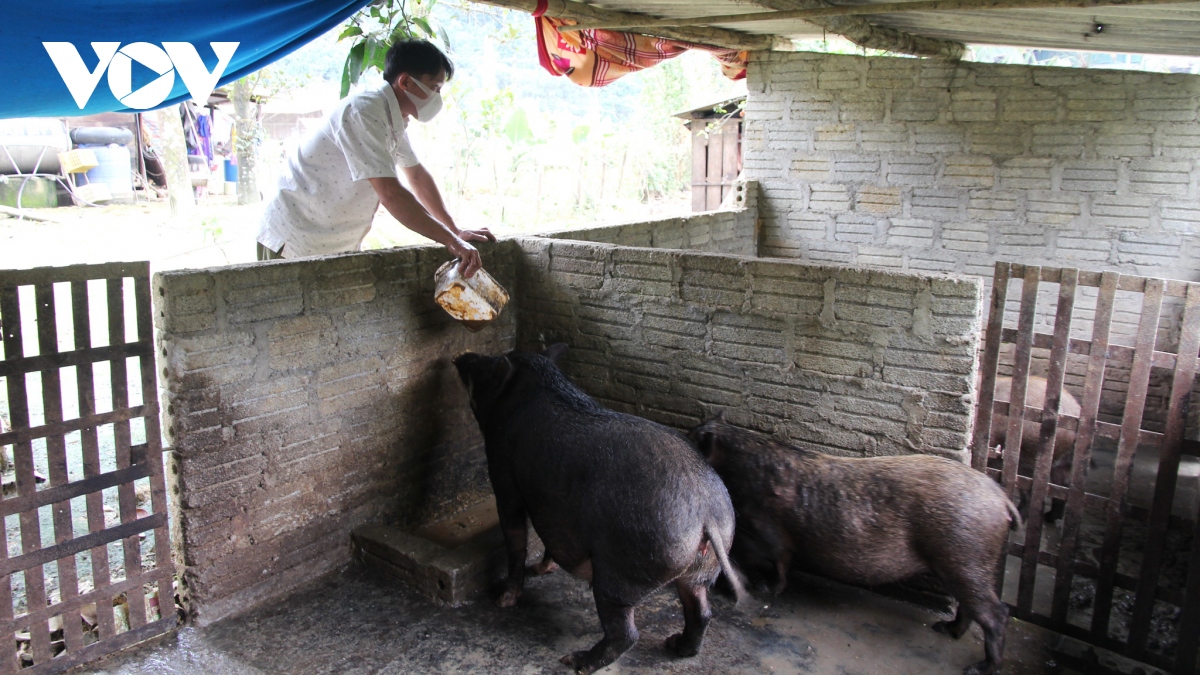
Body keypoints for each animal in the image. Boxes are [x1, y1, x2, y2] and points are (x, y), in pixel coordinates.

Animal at [453, 345, 744, 672]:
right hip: (700, 569)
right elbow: (549, 541)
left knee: (626, 633)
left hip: (622, 572)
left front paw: (503, 600)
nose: (461, 357)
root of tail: (707, 517)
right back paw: (676, 646)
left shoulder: (505, 478)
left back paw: (575, 661)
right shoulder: (556, 510)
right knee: (701, 611)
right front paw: (541, 570)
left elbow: (516, 540)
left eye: (485, 367)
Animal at [691, 417, 1017, 667]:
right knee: (968, 606)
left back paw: (980, 667)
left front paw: (764, 588)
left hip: (964, 555)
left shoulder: (765, 529)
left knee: (996, 613)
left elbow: (777, 560)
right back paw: (945, 629)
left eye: (693, 439)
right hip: (959, 563)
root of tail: (1002, 500)